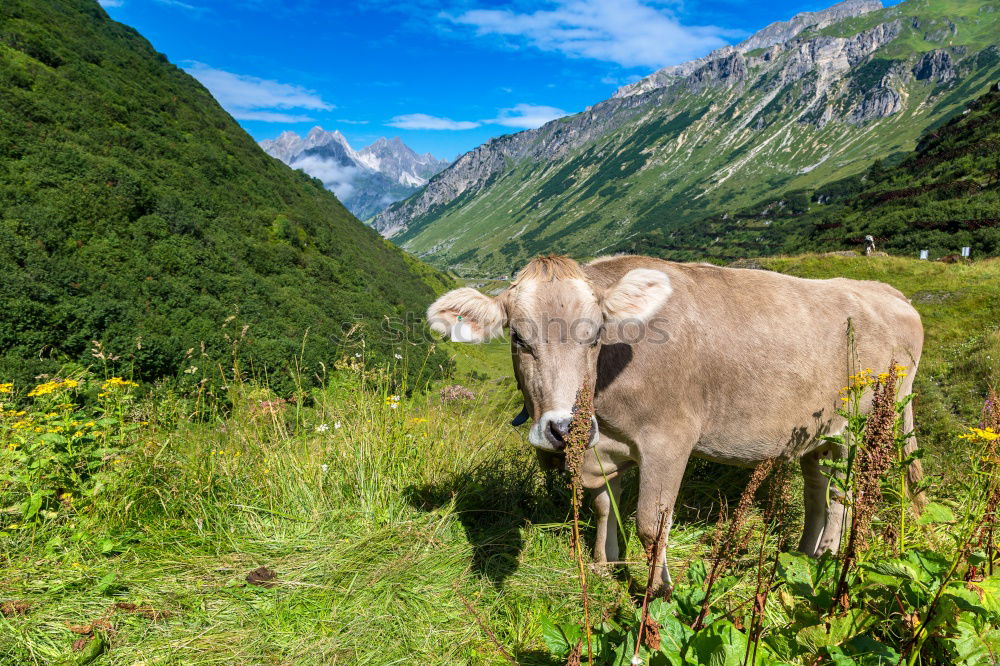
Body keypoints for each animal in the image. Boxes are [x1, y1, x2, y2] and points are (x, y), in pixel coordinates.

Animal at [426, 253, 924, 592]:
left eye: (596, 335)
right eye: (517, 336)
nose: (564, 429)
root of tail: (888, 292)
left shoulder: (669, 439)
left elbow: (652, 524)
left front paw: (656, 590)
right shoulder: (602, 447)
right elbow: (604, 506)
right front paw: (605, 566)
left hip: (861, 424)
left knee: (844, 491)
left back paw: (826, 555)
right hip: (815, 432)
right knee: (817, 486)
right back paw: (802, 553)